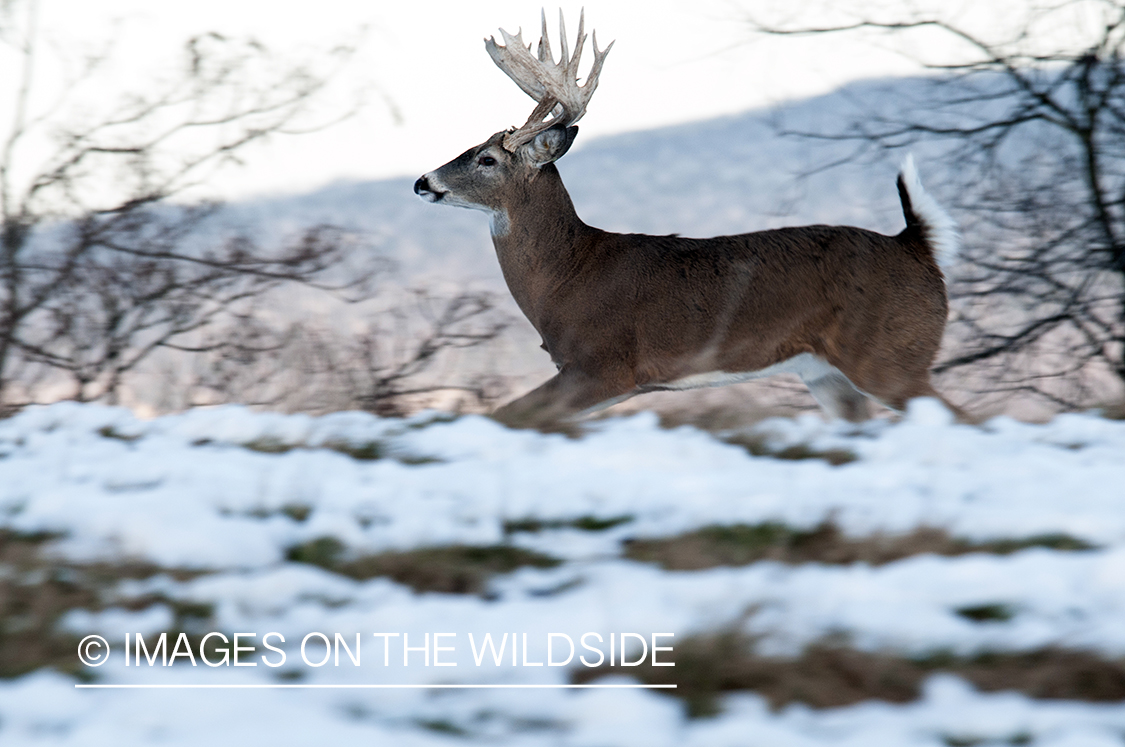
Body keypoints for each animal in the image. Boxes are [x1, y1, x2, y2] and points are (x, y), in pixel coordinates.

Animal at [414, 11, 967, 429]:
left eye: (487, 159)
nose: (422, 181)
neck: (567, 277)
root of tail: (916, 245)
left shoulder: (604, 365)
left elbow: (506, 415)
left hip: (889, 355)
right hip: (826, 372)